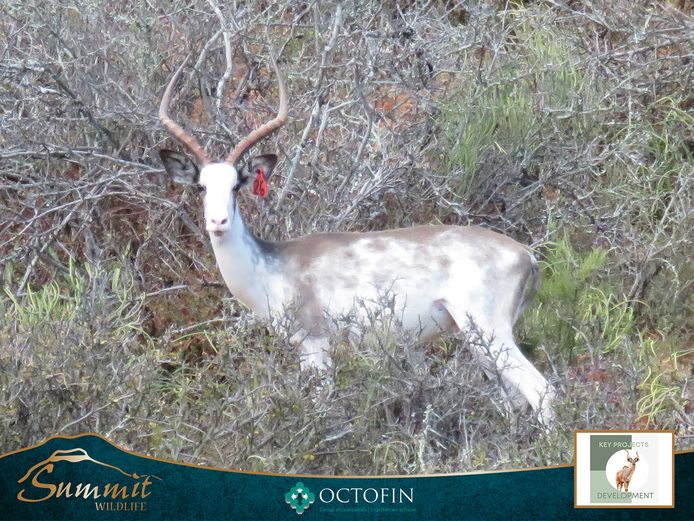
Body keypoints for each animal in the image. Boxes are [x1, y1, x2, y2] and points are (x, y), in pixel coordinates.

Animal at [158, 54, 555, 427]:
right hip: (480, 343)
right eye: (201, 186)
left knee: (542, 391)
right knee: (513, 401)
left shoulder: (315, 347)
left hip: (489, 332)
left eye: (236, 186)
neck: (273, 268)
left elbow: (319, 408)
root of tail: (527, 255)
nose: (218, 221)